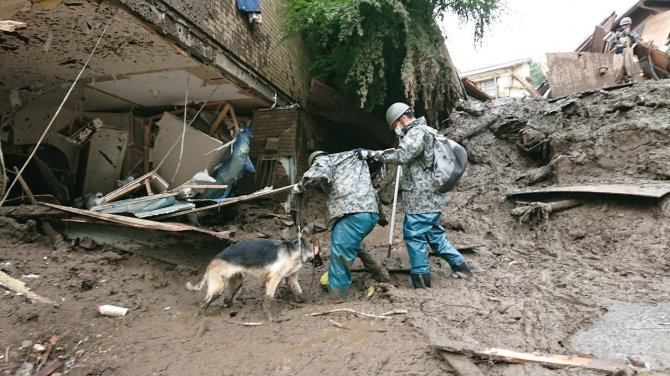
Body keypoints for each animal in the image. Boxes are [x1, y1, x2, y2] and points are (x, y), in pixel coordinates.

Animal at [186, 236, 322, 318]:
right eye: (319, 251)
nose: (321, 263)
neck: (296, 250)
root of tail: (212, 261)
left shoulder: (291, 279)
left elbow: (300, 293)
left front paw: (306, 302)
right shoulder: (273, 279)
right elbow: (268, 300)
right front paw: (270, 317)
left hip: (237, 282)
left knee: (227, 299)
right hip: (218, 288)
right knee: (204, 303)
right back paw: (202, 316)